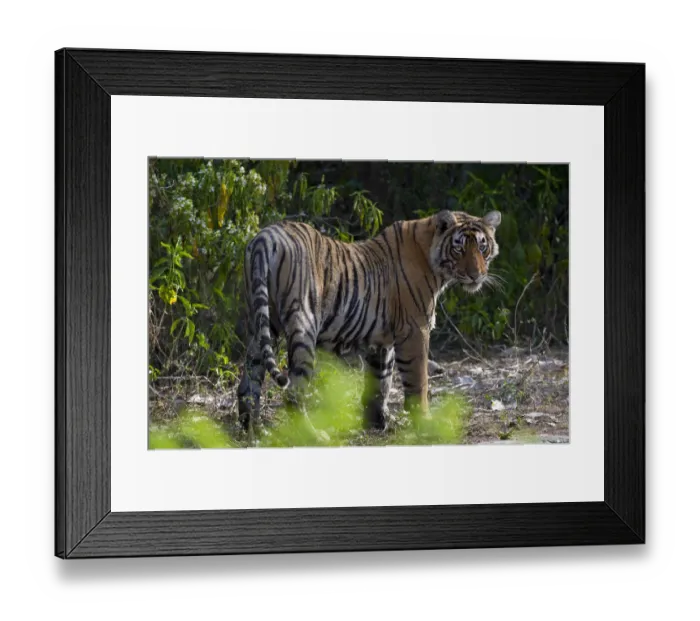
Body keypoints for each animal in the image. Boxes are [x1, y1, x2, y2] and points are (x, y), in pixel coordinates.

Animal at [237, 209, 502, 432]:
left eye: (482, 247)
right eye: (459, 249)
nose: (476, 275)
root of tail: (265, 237)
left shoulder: (381, 340)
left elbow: (380, 381)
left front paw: (378, 421)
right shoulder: (415, 330)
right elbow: (418, 380)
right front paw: (423, 420)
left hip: (261, 325)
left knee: (248, 383)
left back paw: (253, 429)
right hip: (303, 325)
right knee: (293, 391)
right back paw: (312, 434)